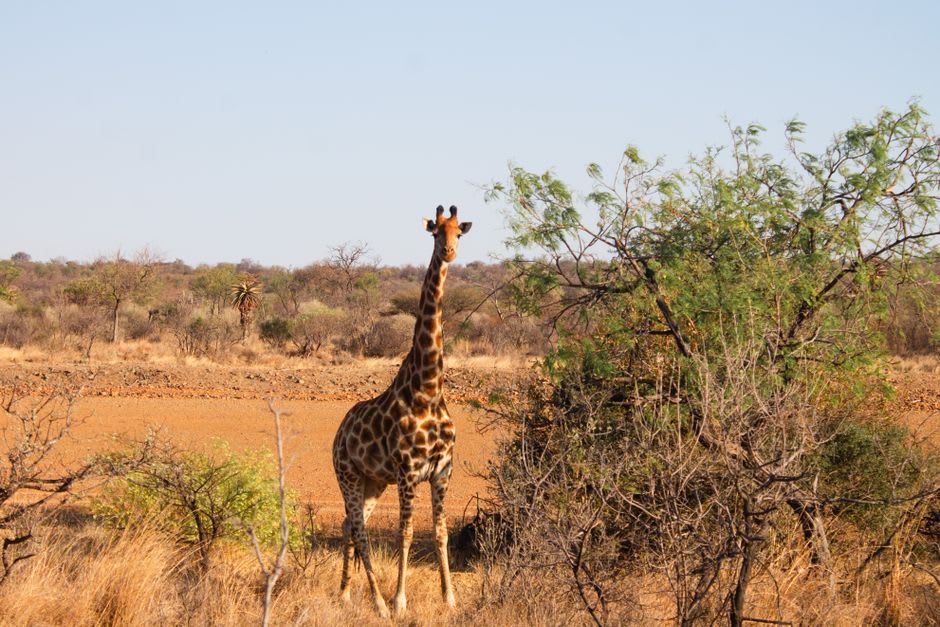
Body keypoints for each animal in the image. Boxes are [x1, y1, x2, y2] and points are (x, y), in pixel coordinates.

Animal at [332, 205, 472, 617]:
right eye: (435, 232)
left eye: (460, 232)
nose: (449, 252)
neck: (428, 390)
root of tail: (339, 432)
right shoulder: (408, 472)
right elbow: (405, 534)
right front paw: (399, 602)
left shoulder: (442, 472)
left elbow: (441, 533)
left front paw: (450, 598)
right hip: (347, 474)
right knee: (359, 530)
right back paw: (378, 602)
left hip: (372, 482)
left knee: (348, 525)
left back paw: (345, 593)